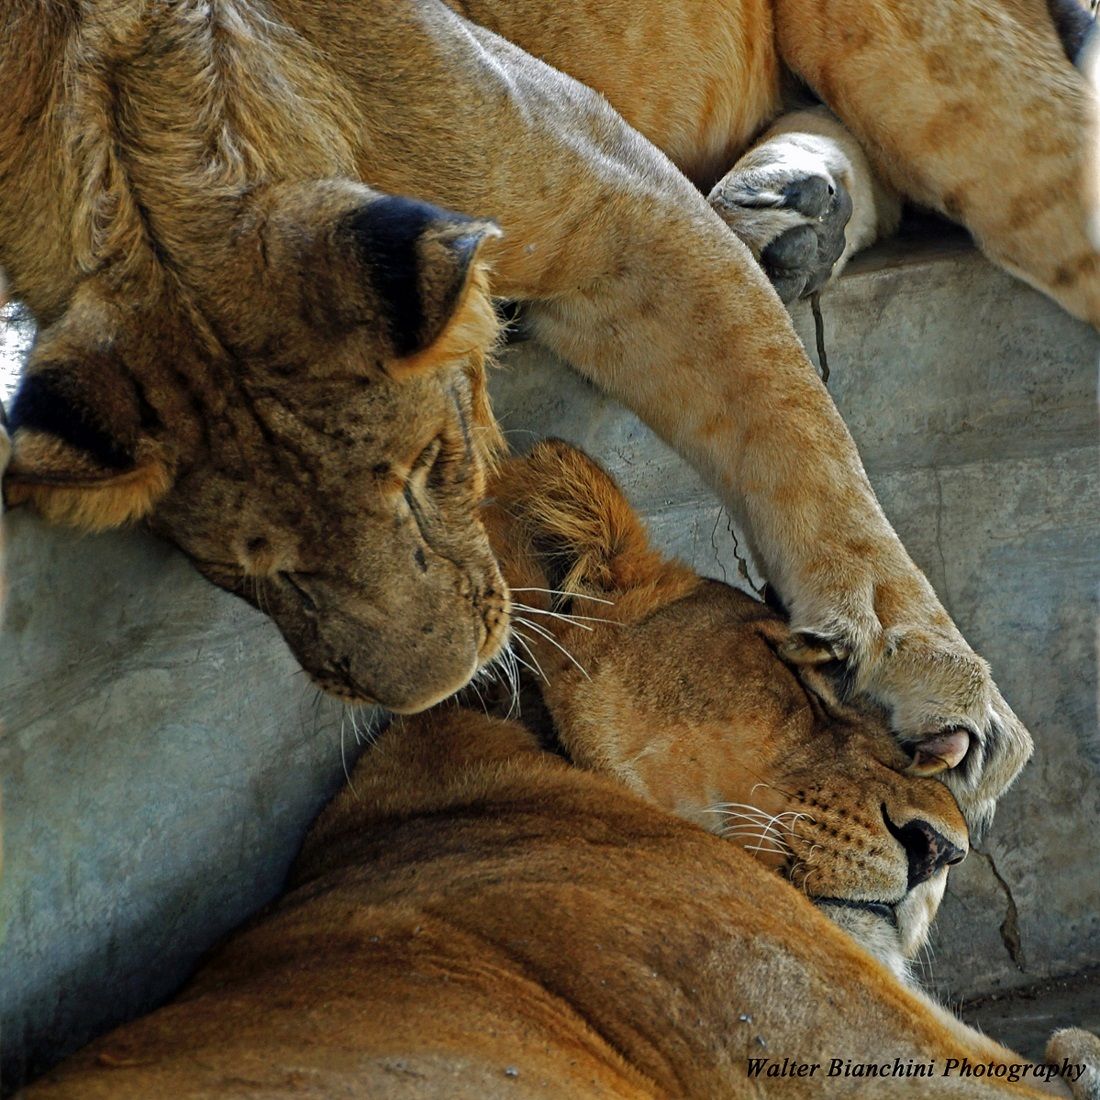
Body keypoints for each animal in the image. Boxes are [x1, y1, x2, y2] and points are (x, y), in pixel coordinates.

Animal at [2, 0, 1095, 822]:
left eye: (429, 466)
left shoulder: (614, 195)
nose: (437, 686)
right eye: (248, 571)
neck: (129, 121)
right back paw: (790, 211)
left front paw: (922, 670)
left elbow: (790, 421)